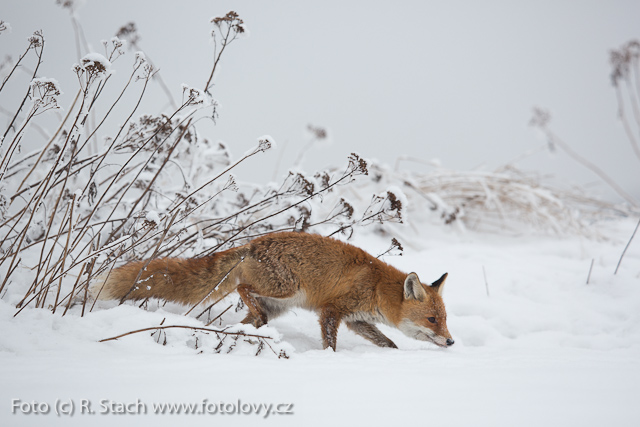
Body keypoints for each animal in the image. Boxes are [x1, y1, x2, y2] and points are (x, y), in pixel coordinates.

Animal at [95, 234, 456, 352]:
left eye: (444, 319)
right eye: (432, 319)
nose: (452, 341)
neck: (378, 287)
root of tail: (251, 245)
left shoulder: (356, 319)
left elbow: (388, 342)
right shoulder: (332, 311)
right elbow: (330, 341)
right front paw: (330, 360)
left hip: (278, 304)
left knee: (241, 321)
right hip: (286, 289)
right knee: (242, 287)